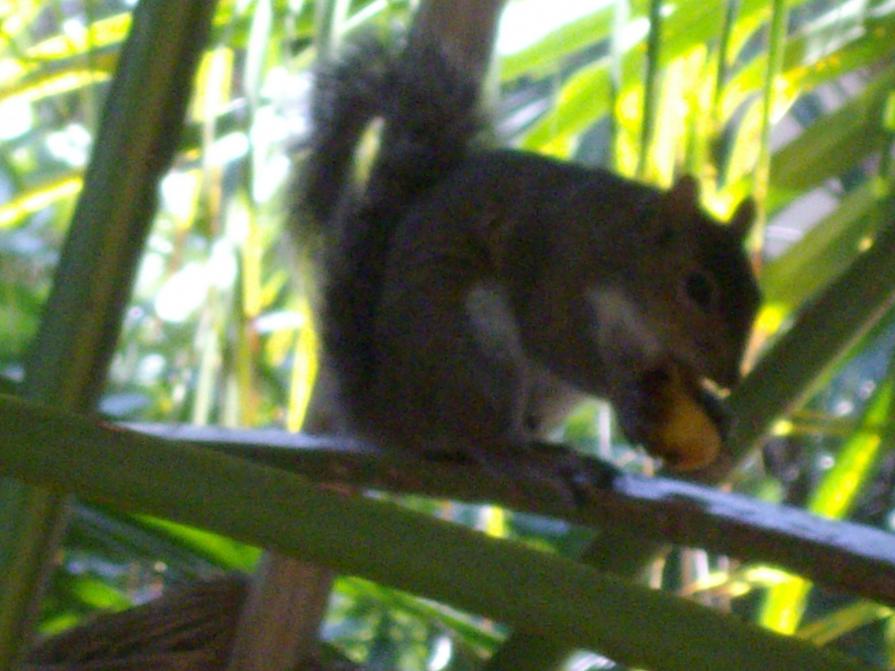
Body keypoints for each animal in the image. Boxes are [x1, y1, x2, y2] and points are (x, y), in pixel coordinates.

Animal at [298, 31, 760, 494]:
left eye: (757, 296)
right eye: (697, 287)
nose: (730, 378)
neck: (623, 250)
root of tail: (391, 417)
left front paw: (711, 402)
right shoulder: (559, 273)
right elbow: (556, 343)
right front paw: (624, 394)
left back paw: (554, 453)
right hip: (473, 351)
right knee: (480, 439)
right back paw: (529, 461)